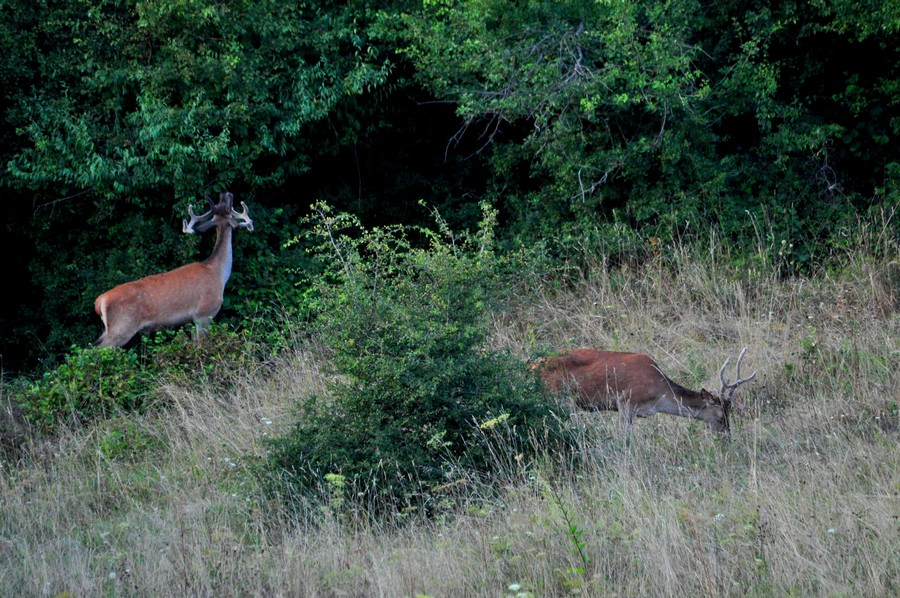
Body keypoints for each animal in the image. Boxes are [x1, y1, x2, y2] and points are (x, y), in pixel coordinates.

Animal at [94, 192, 253, 346]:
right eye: (231, 211)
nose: (226, 194)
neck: (218, 273)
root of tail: (100, 301)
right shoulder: (204, 313)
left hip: (108, 330)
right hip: (121, 328)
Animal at [532, 346, 756, 436]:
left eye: (730, 415)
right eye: (720, 418)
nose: (727, 438)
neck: (657, 396)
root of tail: (532, 367)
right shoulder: (625, 402)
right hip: (560, 399)